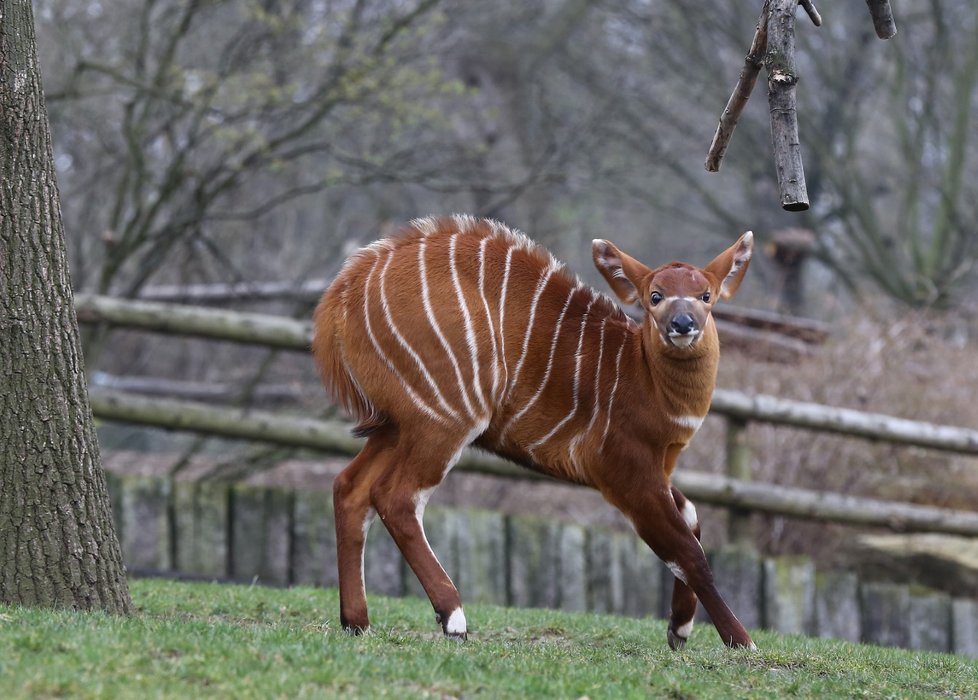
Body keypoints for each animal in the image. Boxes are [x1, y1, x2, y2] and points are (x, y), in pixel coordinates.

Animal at [312, 217, 756, 652]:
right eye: (655, 296)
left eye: (705, 295)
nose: (683, 325)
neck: (641, 371)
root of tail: (341, 299)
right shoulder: (627, 474)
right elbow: (688, 552)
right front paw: (741, 641)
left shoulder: (654, 473)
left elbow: (692, 520)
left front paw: (679, 628)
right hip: (444, 419)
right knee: (396, 497)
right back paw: (454, 618)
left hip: (396, 427)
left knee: (349, 488)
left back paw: (357, 622)